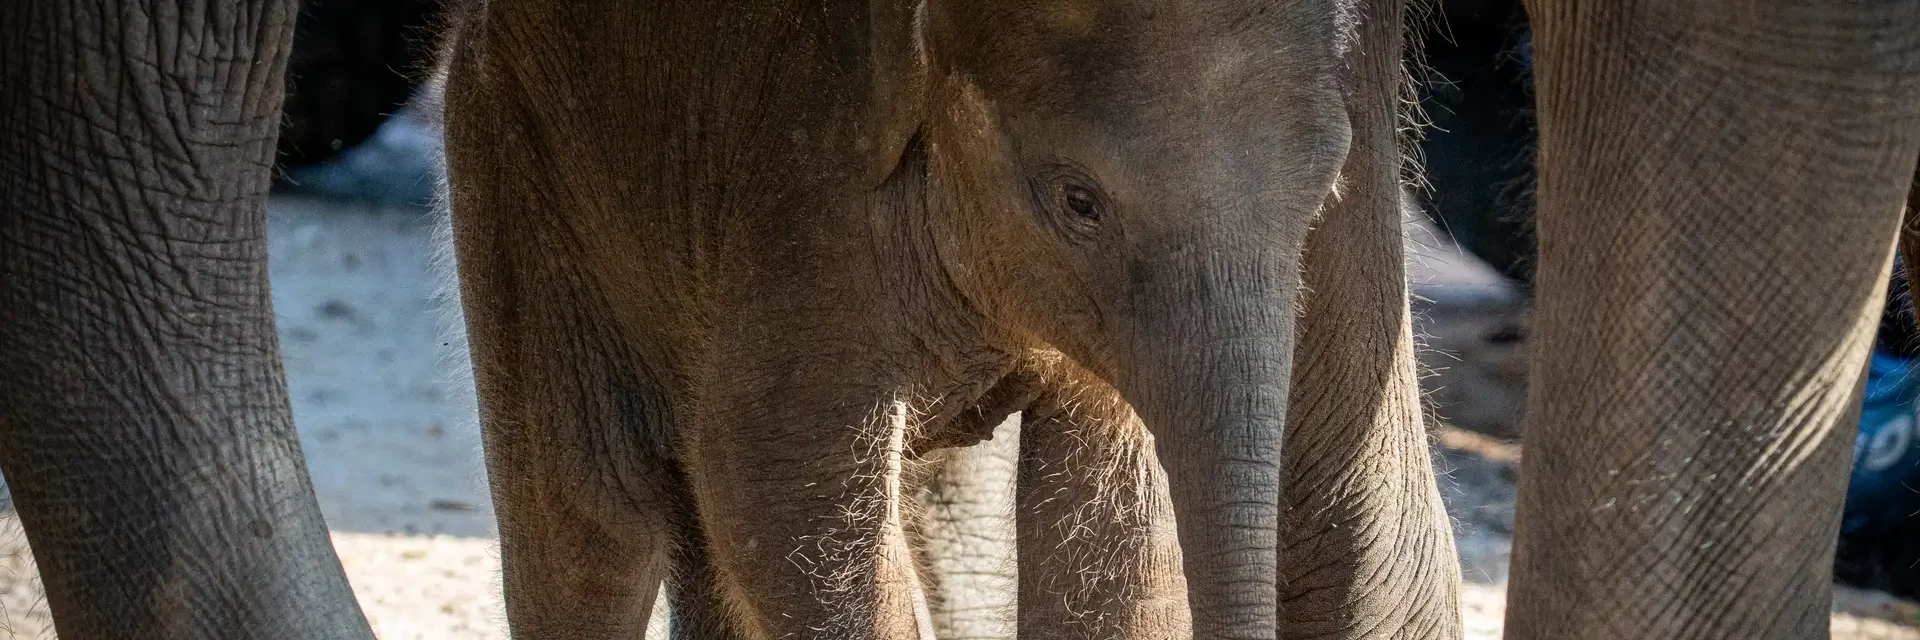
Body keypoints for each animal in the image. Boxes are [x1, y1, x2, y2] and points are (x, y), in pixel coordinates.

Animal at [4, 1, 1920, 640]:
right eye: (1078, 201)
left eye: (1319, 191)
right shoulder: (803, 238)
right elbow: (792, 503)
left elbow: (1101, 514)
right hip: (516, 190)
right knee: (602, 519)